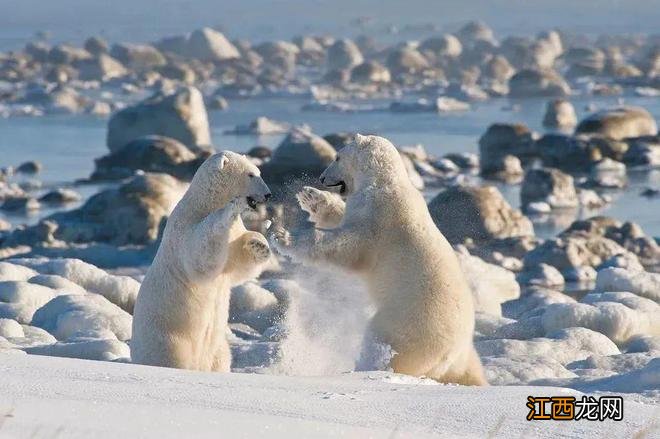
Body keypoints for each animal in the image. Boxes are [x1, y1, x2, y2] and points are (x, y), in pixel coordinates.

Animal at [131, 151, 270, 372]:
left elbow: (237, 267)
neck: (203, 204)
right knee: (171, 358)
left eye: (258, 172)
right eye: (250, 174)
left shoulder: (232, 239)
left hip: (217, 347)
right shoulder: (184, 228)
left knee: (221, 357)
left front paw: (260, 245)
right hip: (168, 337)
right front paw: (230, 208)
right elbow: (200, 256)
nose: (268, 194)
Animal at [272, 134, 484, 384]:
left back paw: (367, 368)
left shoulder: (379, 216)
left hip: (409, 323)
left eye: (337, 157)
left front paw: (282, 236)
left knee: (383, 342)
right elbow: (342, 216)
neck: (384, 181)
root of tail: (456, 353)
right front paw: (311, 197)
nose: (323, 178)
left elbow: (347, 245)